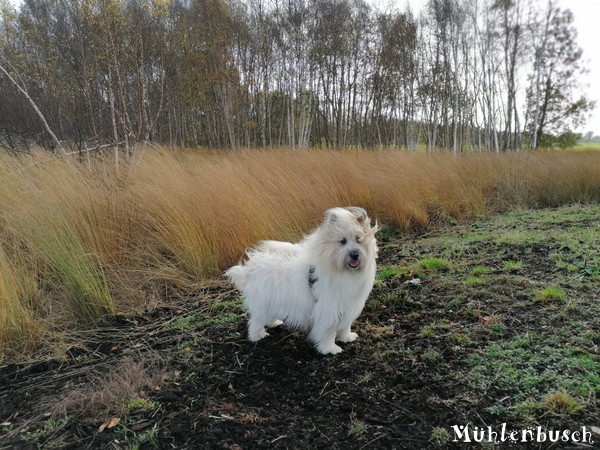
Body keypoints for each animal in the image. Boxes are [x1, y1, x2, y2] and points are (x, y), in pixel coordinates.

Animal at [225, 207, 380, 356]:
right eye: (342, 241)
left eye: (359, 240)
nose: (354, 255)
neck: (341, 270)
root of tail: (249, 269)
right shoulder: (329, 310)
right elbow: (328, 331)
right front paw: (329, 348)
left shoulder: (348, 306)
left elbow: (345, 325)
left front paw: (347, 337)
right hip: (263, 303)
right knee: (255, 321)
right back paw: (258, 335)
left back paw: (274, 323)